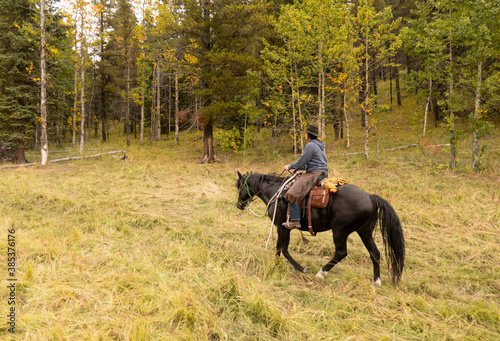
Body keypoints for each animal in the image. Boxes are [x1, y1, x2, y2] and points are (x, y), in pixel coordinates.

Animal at [235, 171, 406, 286]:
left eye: (240, 186)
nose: (239, 204)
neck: (275, 191)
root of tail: (370, 197)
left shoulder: (283, 228)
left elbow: (284, 249)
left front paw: (301, 268)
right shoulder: (280, 227)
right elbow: (278, 248)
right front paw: (275, 264)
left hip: (340, 231)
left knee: (341, 253)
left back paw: (321, 273)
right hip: (365, 232)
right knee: (375, 253)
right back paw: (376, 281)